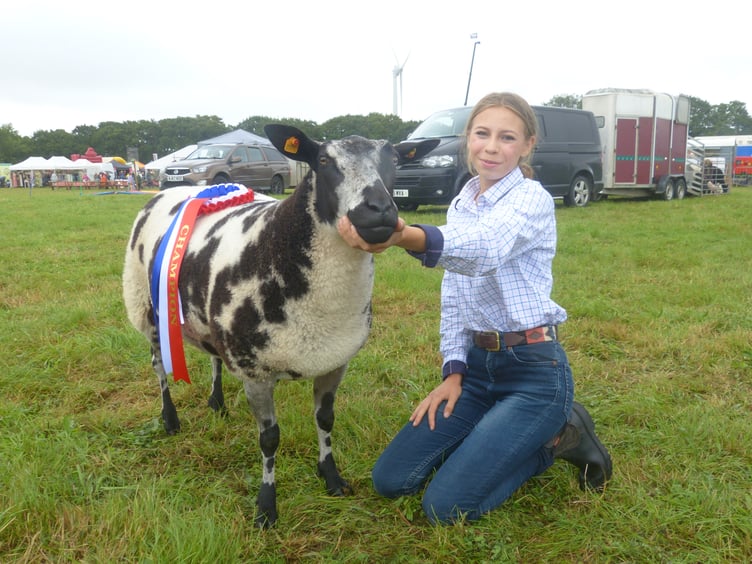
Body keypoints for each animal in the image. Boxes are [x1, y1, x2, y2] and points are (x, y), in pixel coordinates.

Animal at [122, 124, 438, 528]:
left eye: (395, 159)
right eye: (323, 161)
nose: (379, 210)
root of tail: (171, 189)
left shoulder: (335, 359)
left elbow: (326, 419)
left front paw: (331, 477)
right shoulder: (256, 372)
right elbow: (269, 439)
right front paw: (266, 506)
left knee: (213, 356)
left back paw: (216, 402)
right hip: (145, 305)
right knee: (159, 366)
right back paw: (170, 418)